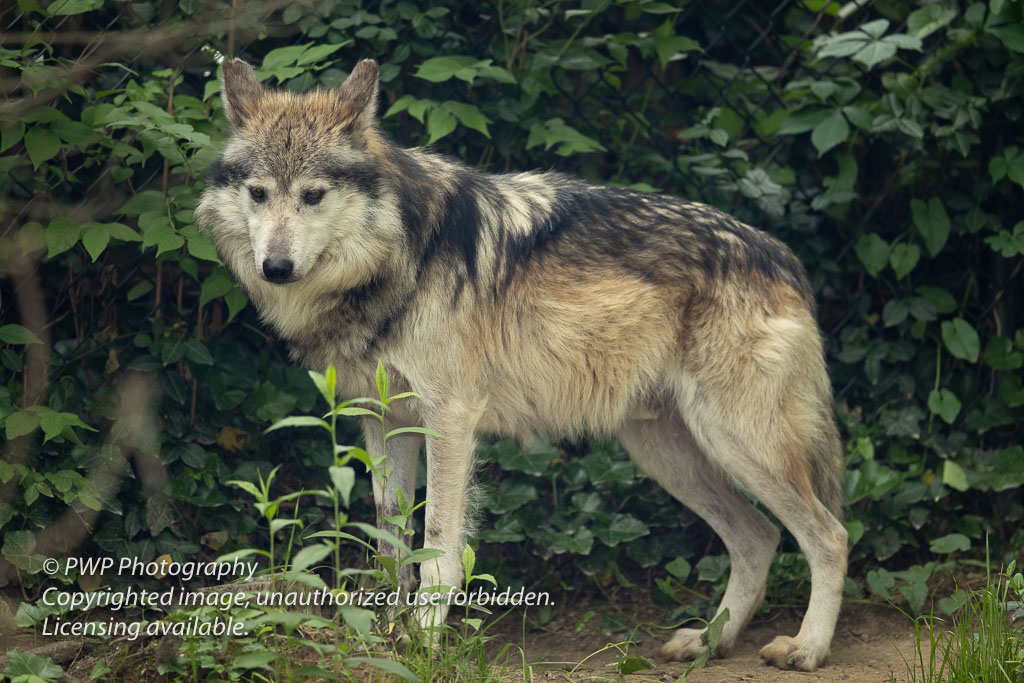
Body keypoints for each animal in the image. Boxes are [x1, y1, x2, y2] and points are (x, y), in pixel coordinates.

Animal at [193, 58, 847, 671]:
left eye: (313, 196)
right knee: (758, 537)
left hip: (738, 443)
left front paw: (424, 646)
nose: (276, 267)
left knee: (829, 536)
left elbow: (437, 551)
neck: (396, 258)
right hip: (667, 454)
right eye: (258, 193)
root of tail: (784, 257)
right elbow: (390, 545)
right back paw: (708, 642)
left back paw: (806, 648)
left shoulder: (450, 418)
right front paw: (384, 640)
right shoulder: (384, 421)